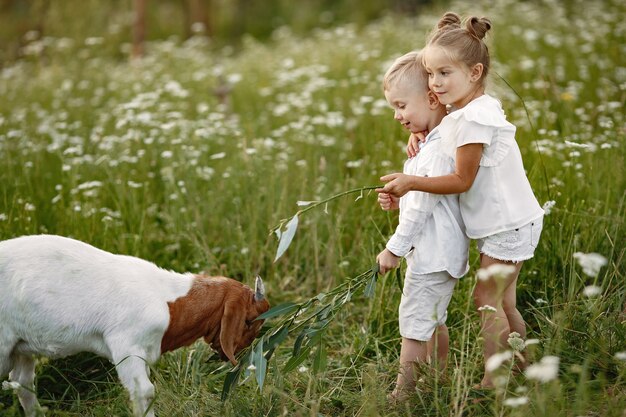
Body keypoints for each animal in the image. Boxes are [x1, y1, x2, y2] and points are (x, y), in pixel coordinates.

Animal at [0, 234, 268, 416]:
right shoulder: (126, 346)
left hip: (22, 347)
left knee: (23, 383)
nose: (243, 356)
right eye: (249, 322)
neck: (169, 302)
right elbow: (144, 391)